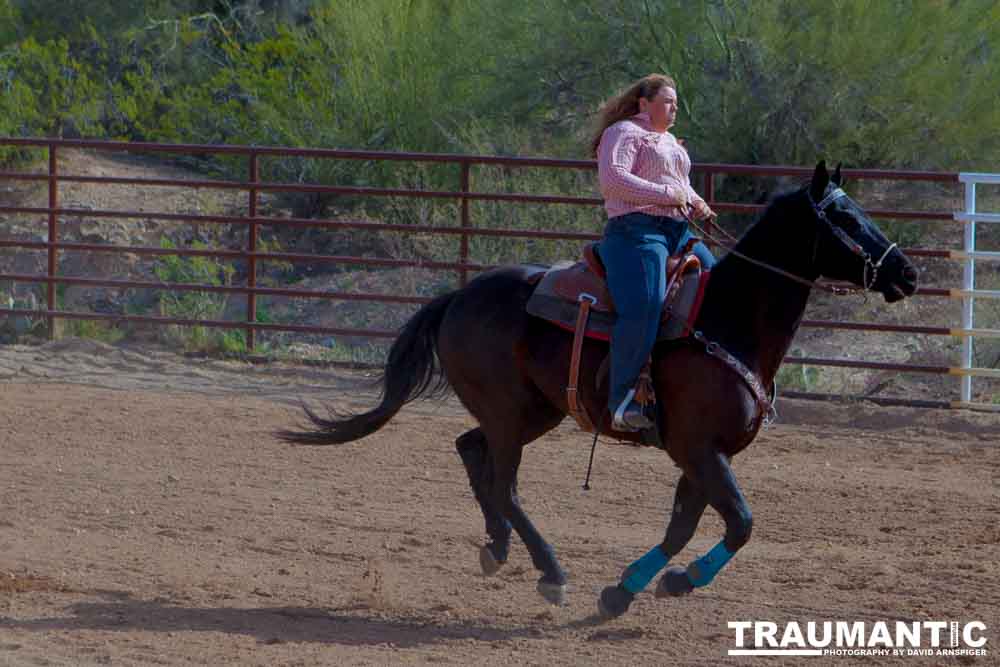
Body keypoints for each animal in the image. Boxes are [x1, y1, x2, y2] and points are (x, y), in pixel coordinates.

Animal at [280, 162, 916, 620]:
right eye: (846, 219)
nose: (907, 273)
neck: (728, 320)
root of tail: (458, 296)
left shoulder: (706, 454)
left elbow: (684, 525)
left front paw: (626, 590)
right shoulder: (698, 449)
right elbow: (740, 522)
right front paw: (675, 582)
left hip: (533, 411)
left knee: (471, 450)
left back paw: (498, 548)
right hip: (510, 413)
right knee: (503, 483)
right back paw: (550, 573)